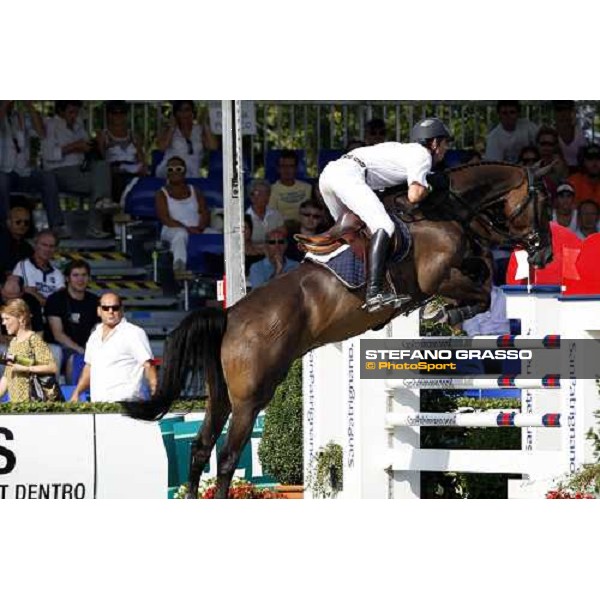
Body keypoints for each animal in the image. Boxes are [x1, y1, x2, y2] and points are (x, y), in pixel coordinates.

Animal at [120, 162, 552, 500]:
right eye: (544, 205)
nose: (544, 254)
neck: (437, 209)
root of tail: (229, 316)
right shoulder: (439, 276)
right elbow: (482, 288)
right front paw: (445, 311)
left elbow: (482, 275)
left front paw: (445, 309)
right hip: (250, 398)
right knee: (225, 458)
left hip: (221, 396)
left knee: (199, 449)